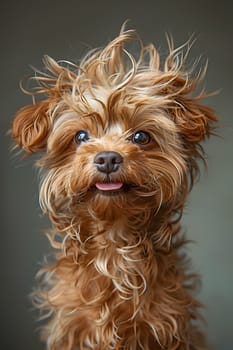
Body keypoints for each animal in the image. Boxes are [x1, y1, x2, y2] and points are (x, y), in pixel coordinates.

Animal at [11, 28, 217, 350]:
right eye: (81, 136)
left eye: (141, 137)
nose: (107, 158)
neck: (114, 241)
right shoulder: (73, 329)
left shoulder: (166, 328)